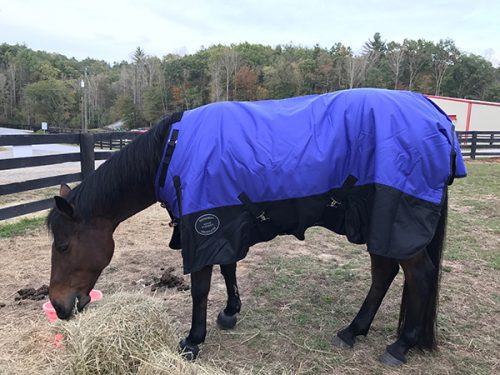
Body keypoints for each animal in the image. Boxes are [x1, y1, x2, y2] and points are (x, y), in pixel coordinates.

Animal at [47, 89, 464, 368]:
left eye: (63, 246)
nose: (60, 306)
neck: (174, 149)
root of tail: (435, 114)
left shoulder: (205, 226)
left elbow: (200, 288)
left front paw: (193, 340)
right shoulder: (223, 220)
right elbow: (228, 268)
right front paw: (230, 312)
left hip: (395, 219)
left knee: (419, 275)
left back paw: (400, 346)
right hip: (379, 224)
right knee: (385, 273)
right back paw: (353, 331)